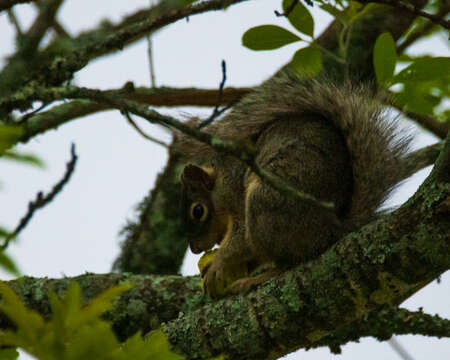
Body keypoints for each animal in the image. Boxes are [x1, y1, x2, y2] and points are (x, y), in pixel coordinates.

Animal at [175, 71, 412, 298]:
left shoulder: (235, 195)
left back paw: (256, 279)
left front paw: (218, 263)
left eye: (198, 211)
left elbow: (240, 238)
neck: (220, 182)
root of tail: (332, 231)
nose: (195, 249)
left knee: (290, 262)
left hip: (264, 205)